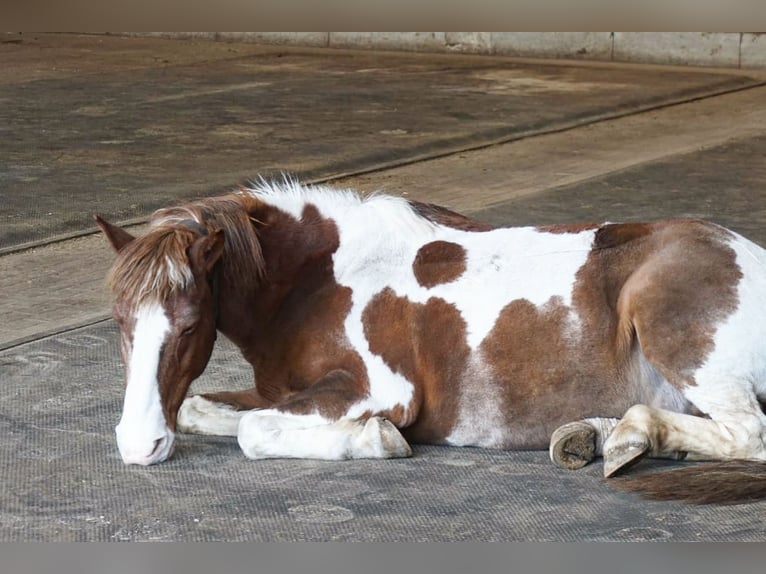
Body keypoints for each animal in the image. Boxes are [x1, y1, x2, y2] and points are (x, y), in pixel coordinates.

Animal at [95, 179, 766, 504]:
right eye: (120, 321)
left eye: (189, 324)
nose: (137, 446)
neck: (316, 280)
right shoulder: (280, 390)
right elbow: (201, 408)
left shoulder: (373, 389)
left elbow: (254, 431)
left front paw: (375, 441)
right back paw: (596, 438)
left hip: (676, 336)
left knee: (748, 435)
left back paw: (629, 436)